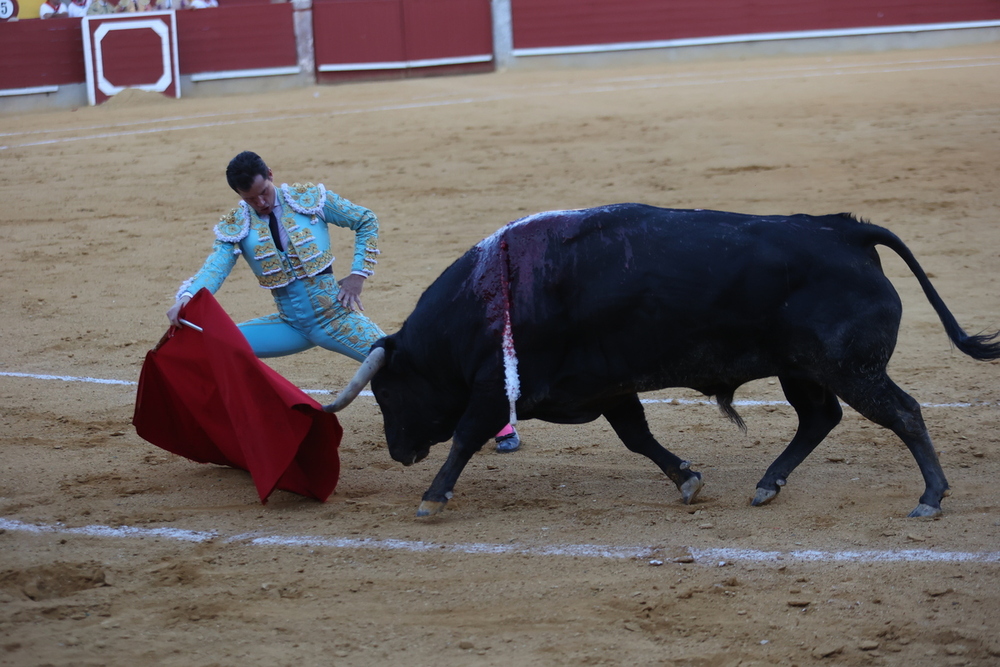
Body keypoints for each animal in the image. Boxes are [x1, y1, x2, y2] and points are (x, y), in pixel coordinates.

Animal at [328, 206, 1000, 520]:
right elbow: (637, 437)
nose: (398, 452)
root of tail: (846, 231)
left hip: (849, 368)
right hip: (803, 369)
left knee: (903, 413)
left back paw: (931, 497)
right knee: (819, 418)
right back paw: (767, 484)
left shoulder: (497, 388)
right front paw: (687, 479)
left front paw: (431, 497)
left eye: (389, 392)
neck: (487, 300)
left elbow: (467, 437)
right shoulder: (604, 389)